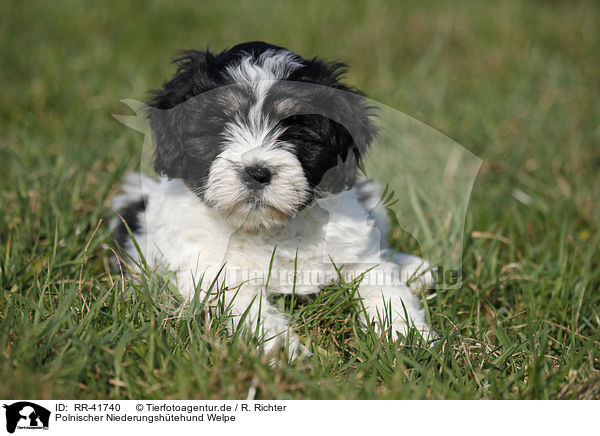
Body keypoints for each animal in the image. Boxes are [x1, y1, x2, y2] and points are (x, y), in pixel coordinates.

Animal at [110, 41, 434, 356]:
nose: (256, 172)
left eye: (296, 133)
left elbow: (381, 283)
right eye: (219, 127)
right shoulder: (214, 272)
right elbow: (246, 307)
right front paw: (282, 351)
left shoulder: (353, 249)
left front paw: (408, 334)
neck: (267, 228)